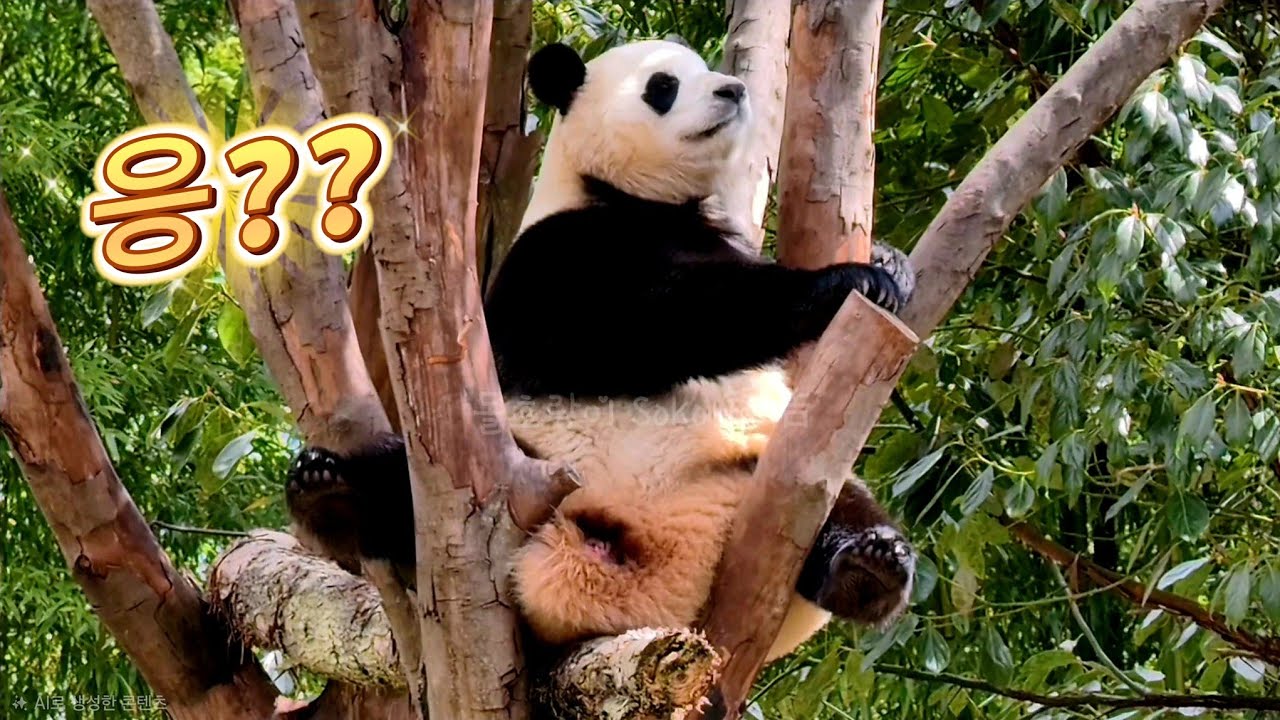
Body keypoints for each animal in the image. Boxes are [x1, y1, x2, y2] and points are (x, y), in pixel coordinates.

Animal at [287, 39, 916, 663]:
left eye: (706, 70)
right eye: (663, 86)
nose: (733, 90)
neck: (637, 198)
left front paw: (891, 267)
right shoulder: (556, 253)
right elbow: (625, 328)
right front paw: (845, 282)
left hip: (755, 472)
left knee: (841, 504)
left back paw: (869, 567)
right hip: (525, 473)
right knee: (413, 489)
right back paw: (327, 490)